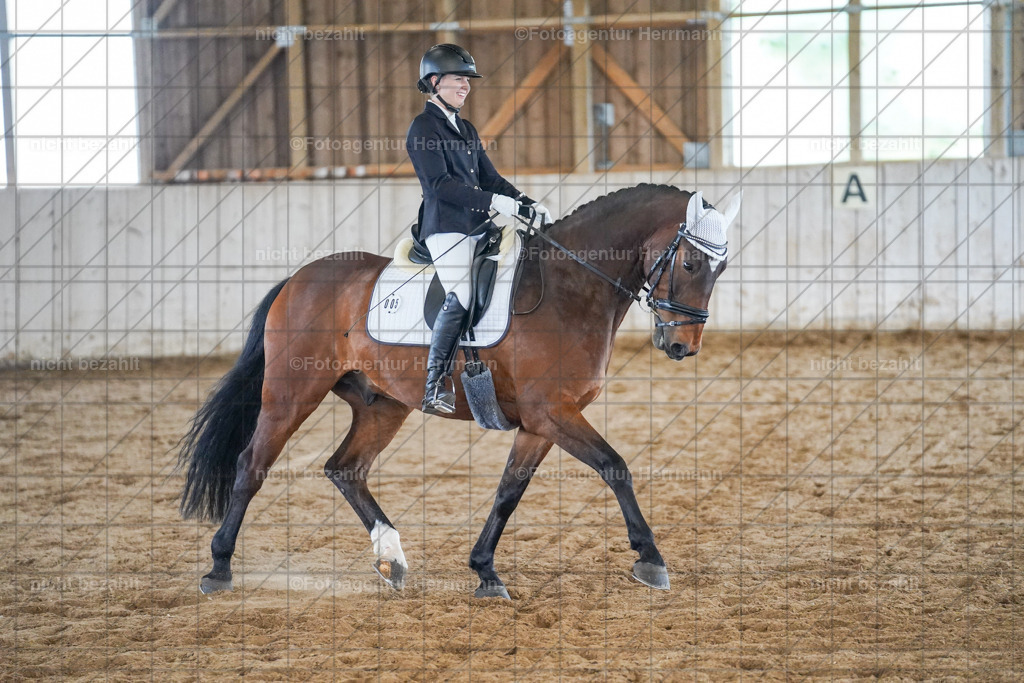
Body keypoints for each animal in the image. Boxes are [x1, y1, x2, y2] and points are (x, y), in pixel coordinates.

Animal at [178, 183, 738, 599]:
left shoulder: (541, 424)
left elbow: (509, 492)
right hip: (292, 393)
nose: (682, 346)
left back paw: (392, 558)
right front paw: (651, 559)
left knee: (346, 468)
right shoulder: (553, 413)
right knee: (252, 465)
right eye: (690, 264)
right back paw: (218, 569)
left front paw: (485, 570)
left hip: (383, 404)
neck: (572, 286)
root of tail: (297, 278)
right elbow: (615, 466)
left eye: (722, 268)